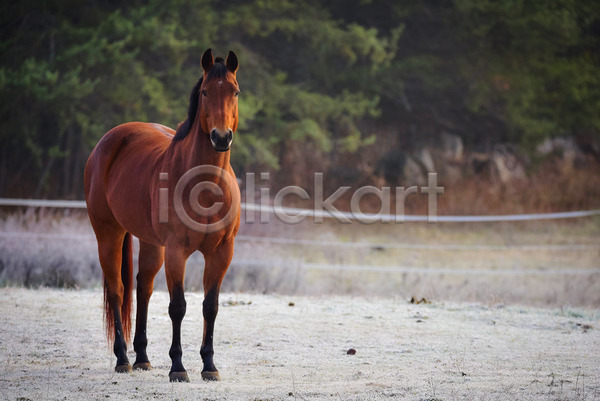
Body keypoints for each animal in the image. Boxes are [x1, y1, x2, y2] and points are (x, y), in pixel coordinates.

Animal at [84, 48, 241, 380]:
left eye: (235, 91)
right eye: (206, 92)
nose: (221, 137)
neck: (206, 186)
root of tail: (109, 140)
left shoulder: (222, 252)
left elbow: (210, 306)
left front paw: (209, 366)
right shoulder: (177, 251)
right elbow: (177, 306)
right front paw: (178, 367)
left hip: (151, 243)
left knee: (143, 287)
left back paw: (142, 357)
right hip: (108, 234)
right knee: (118, 291)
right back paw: (123, 359)